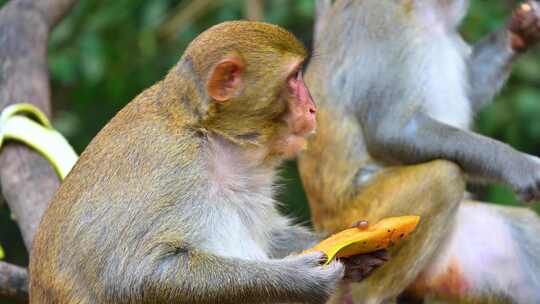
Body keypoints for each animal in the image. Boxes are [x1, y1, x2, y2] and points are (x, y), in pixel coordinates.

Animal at [300, 0, 540, 302]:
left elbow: (471, 89)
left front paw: (520, 29)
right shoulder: (382, 25)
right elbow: (393, 130)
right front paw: (521, 167)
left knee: (525, 228)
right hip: (352, 221)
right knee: (443, 177)